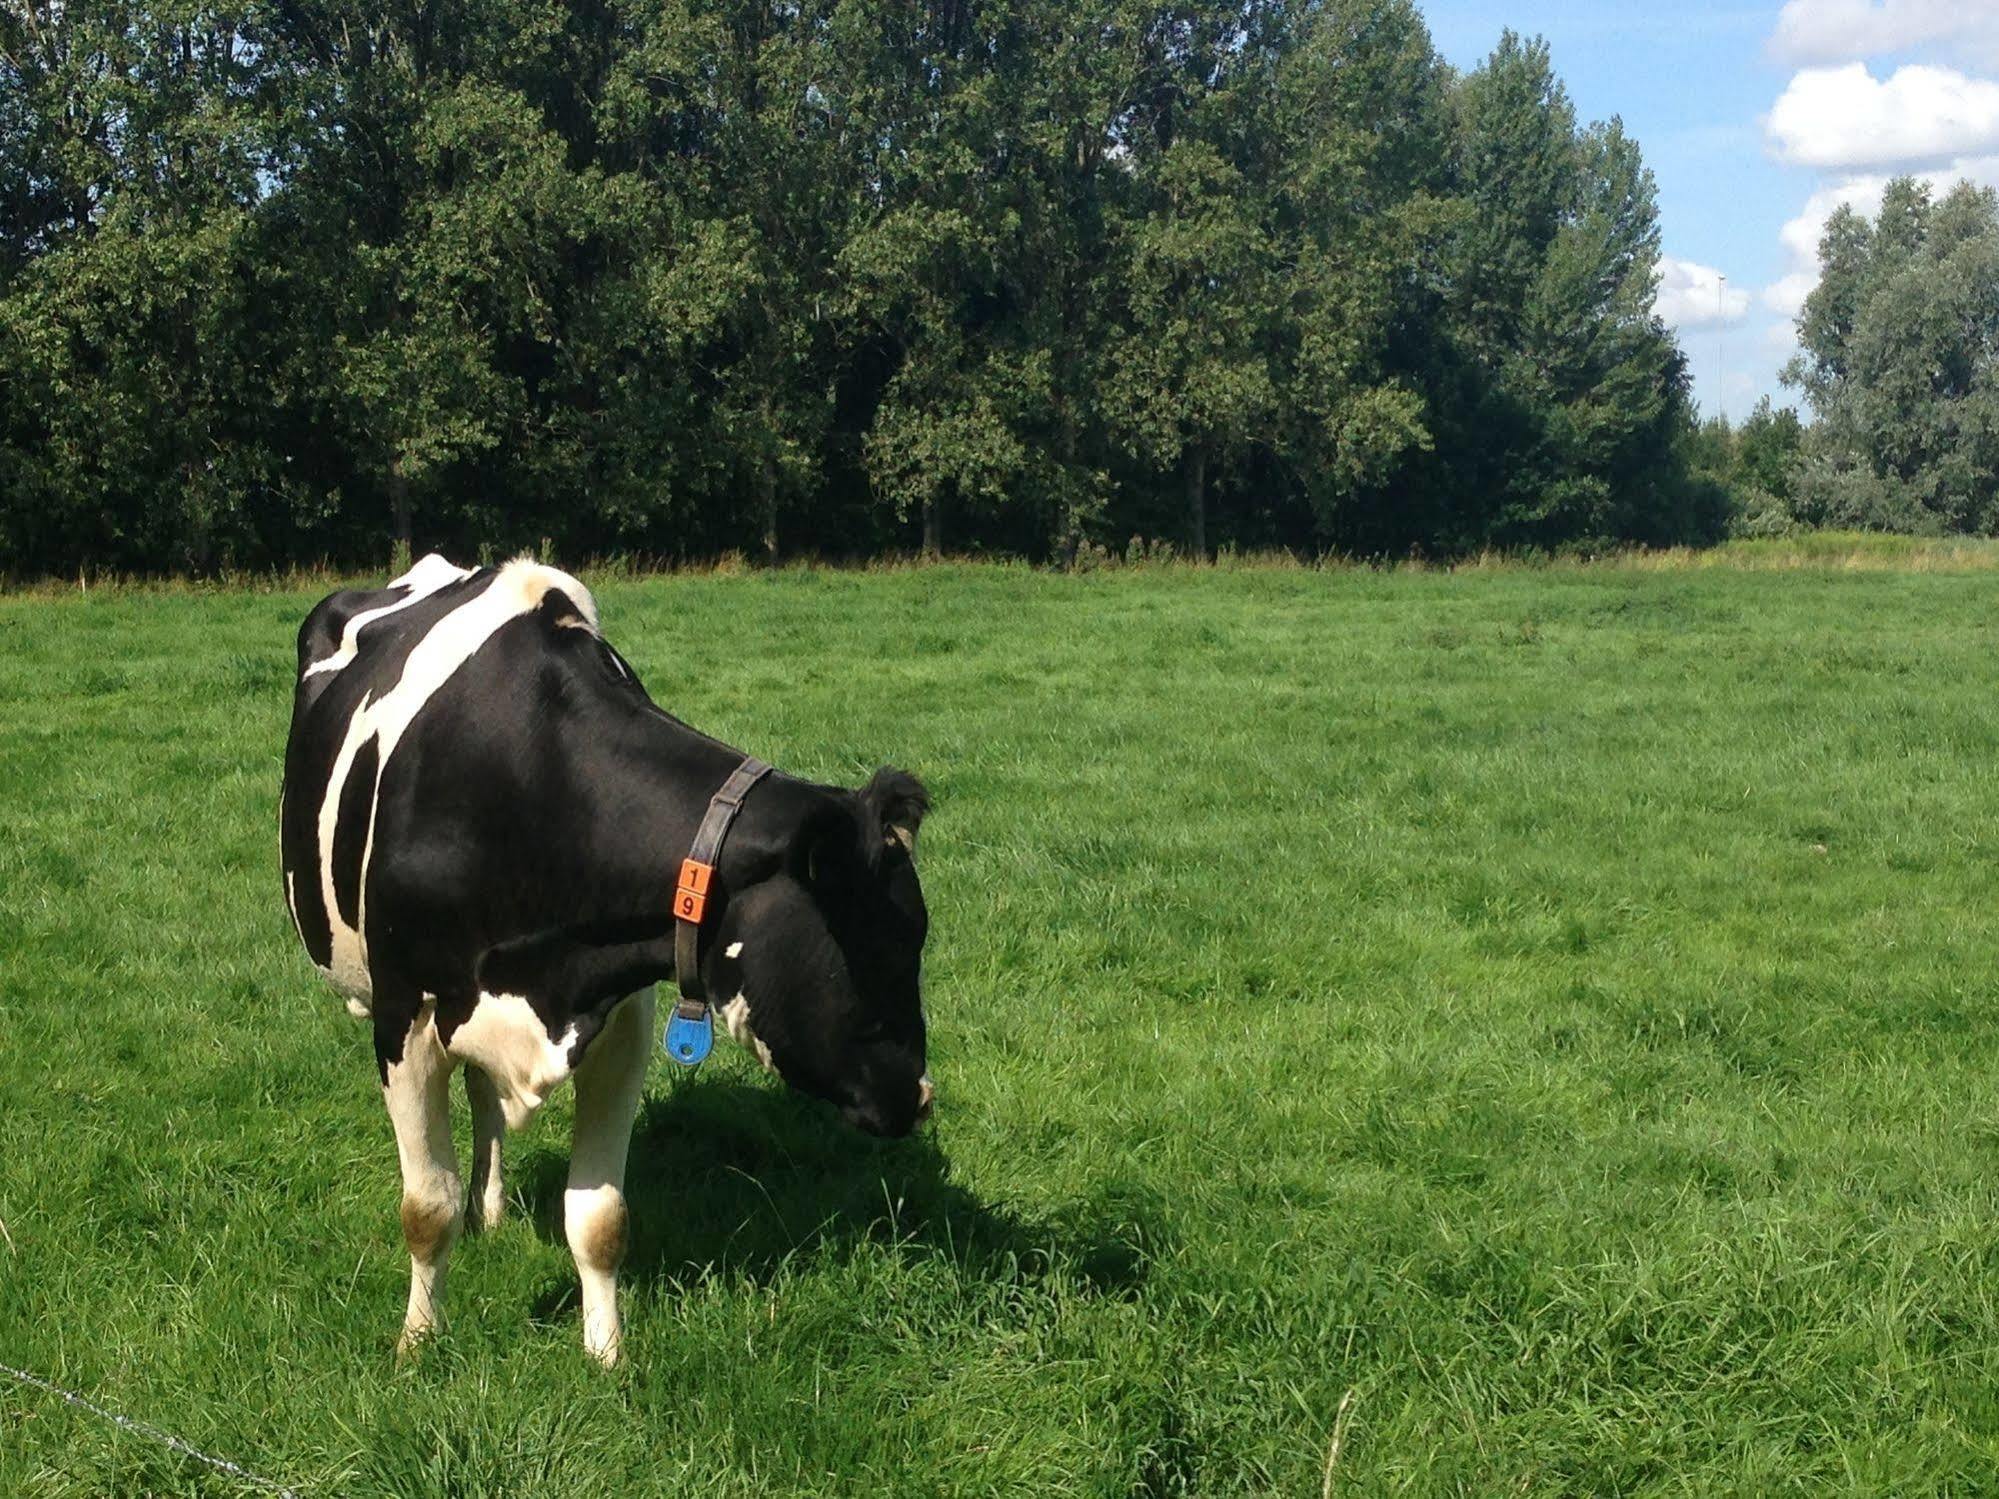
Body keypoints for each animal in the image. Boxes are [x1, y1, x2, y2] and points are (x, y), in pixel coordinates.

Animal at [277, 559, 931, 1367]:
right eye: (876, 941)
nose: (919, 1096)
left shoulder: (619, 1018)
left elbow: (600, 1218)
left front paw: (606, 1353)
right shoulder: (406, 1017)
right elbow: (426, 1208)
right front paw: (418, 1341)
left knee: (485, 1093)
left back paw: (490, 1207)